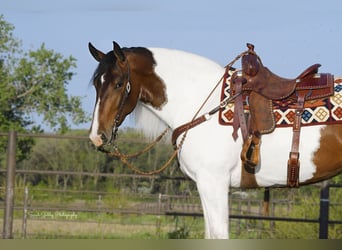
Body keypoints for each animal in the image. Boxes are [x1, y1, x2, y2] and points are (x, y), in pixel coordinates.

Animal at [88, 41, 342, 238]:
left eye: (119, 84)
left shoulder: (213, 182)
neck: (201, 101)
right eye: (96, 84)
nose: (96, 136)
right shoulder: (205, 184)